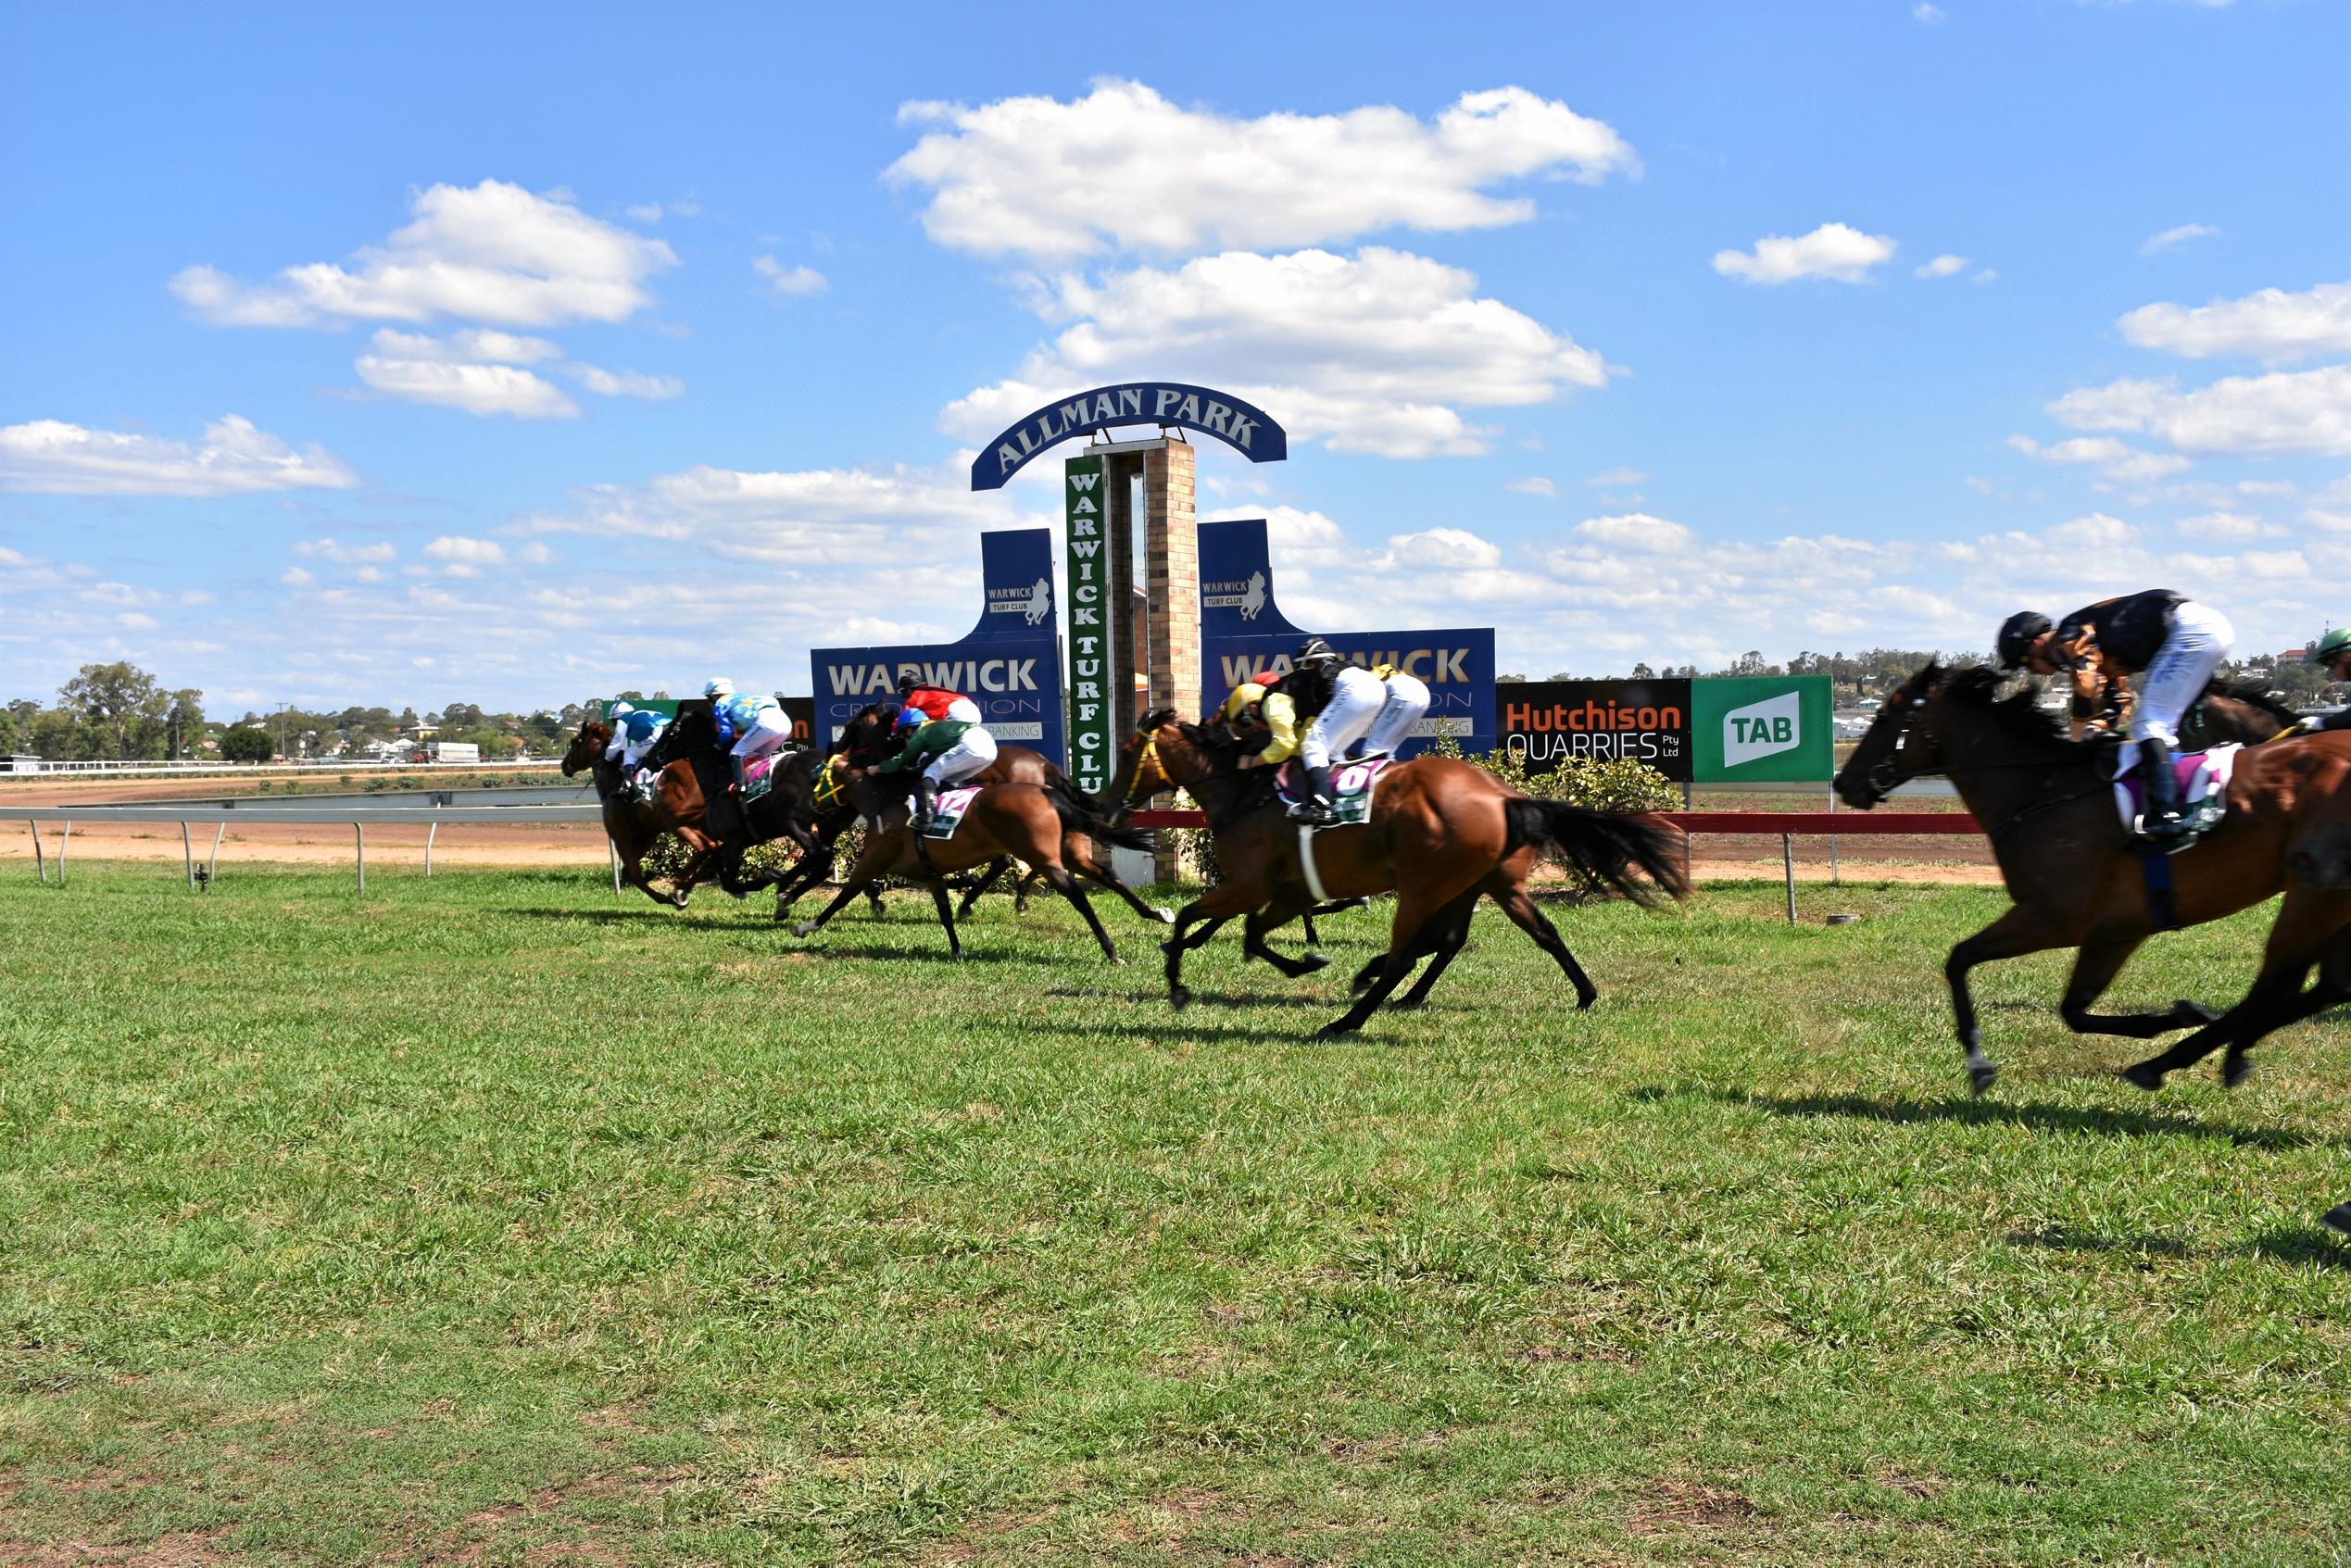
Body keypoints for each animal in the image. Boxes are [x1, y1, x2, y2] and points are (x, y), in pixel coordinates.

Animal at [1114, 709, 1683, 1029]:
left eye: (1127, 751)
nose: (1105, 800)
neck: (1243, 795)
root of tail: (1505, 798)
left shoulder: (1251, 885)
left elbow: (1199, 917)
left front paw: (1178, 981)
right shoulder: (1290, 891)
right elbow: (1252, 933)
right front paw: (1305, 963)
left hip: (1424, 886)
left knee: (1410, 953)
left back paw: (1347, 1020)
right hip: (1486, 884)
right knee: (1526, 933)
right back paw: (1584, 994)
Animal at [1833, 662, 2351, 1090]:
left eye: (1884, 717)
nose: (1843, 782)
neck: (2039, 792)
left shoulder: (2054, 918)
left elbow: (1959, 960)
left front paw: (1978, 1064)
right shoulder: (2115, 930)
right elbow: (2074, 1011)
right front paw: (2177, 1015)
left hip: (2315, 892)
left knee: (2277, 987)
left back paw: (2181, 1058)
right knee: (2322, 986)